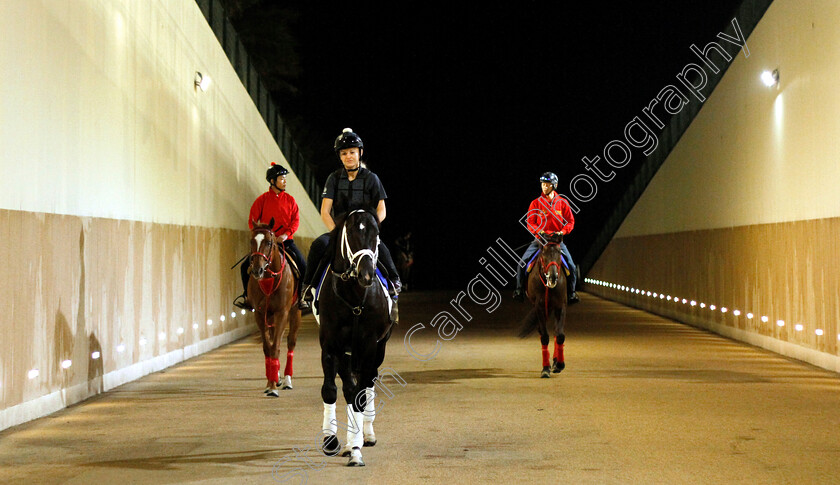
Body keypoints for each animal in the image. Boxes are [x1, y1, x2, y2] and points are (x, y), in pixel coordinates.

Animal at [246, 219, 302, 398]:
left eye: (269, 242)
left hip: (295, 312)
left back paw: (287, 380)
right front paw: (270, 383)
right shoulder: (260, 313)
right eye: (252, 241)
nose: (257, 270)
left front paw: (273, 387)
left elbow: (276, 346)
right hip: (269, 316)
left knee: (291, 342)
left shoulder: (282, 312)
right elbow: (267, 347)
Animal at [316, 209, 392, 466]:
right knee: (350, 387)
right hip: (348, 352)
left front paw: (357, 449)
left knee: (368, 382)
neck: (354, 297)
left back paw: (366, 434)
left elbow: (360, 395)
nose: (366, 274)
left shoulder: (369, 345)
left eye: (376, 233)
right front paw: (332, 440)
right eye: (350, 233)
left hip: (378, 348)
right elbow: (332, 390)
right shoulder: (331, 345)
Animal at [516, 233, 568, 378]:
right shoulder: (539, 307)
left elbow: (560, 335)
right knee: (542, 331)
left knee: (556, 331)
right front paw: (545, 368)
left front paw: (559, 364)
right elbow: (544, 337)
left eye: (559, 252)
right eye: (543, 253)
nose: (553, 277)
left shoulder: (560, 305)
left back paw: (556, 361)